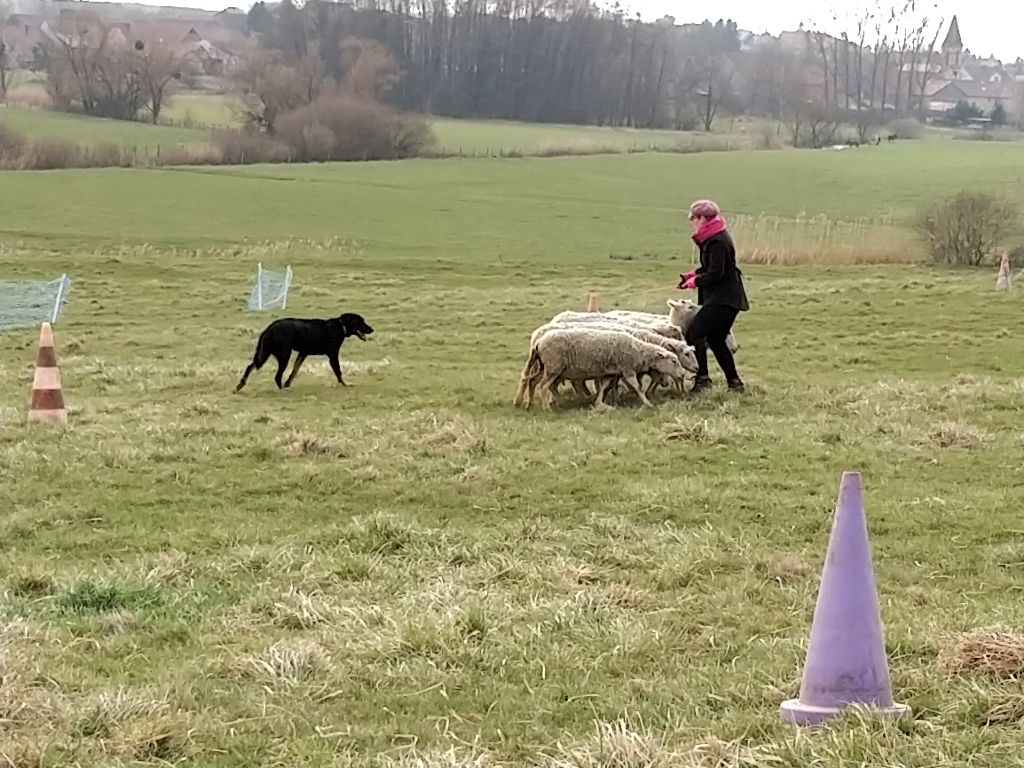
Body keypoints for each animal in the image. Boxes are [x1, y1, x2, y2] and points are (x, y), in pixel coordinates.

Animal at [234, 313, 374, 393]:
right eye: (360, 321)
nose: (372, 329)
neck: (341, 326)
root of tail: (269, 328)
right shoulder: (333, 355)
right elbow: (339, 372)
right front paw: (346, 384)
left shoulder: (303, 353)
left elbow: (294, 371)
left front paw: (288, 383)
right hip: (284, 355)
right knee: (277, 376)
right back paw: (282, 390)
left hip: (265, 354)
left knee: (250, 366)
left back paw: (241, 384)